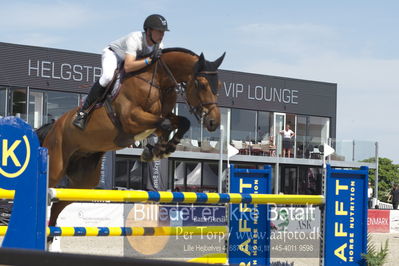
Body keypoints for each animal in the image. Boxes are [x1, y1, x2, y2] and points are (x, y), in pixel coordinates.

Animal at [37, 47, 227, 227]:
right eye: (201, 84)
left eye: (218, 84)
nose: (214, 122)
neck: (158, 80)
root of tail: (54, 126)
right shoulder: (132, 118)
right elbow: (165, 124)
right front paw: (157, 150)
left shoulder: (161, 117)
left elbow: (180, 122)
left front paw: (161, 149)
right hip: (56, 167)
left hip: (84, 181)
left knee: (58, 205)